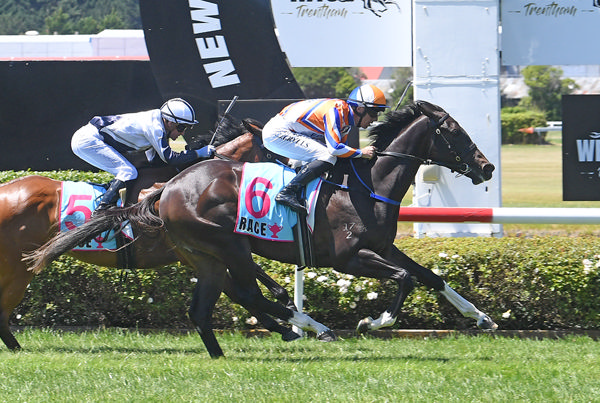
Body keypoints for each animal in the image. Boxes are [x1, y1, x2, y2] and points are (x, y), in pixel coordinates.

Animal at [28, 99, 496, 358]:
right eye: (454, 131)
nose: (488, 166)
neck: (369, 186)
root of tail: (168, 189)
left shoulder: (382, 248)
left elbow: (430, 277)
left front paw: (481, 317)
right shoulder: (348, 258)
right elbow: (404, 280)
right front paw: (372, 322)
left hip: (205, 253)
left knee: (219, 300)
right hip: (228, 245)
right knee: (248, 292)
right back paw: (311, 327)